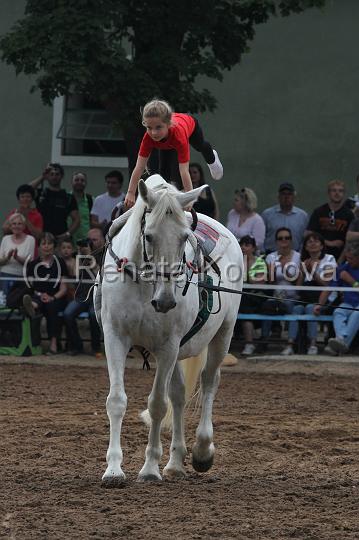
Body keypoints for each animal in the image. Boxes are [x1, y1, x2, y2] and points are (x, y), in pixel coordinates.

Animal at [95, 175, 243, 484]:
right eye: (149, 236)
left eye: (185, 237)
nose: (165, 301)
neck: (143, 285)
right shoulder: (115, 338)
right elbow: (117, 401)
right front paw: (113, 469)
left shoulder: (168, 346)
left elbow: (157, 405)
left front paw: (150, 468)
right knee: (179, 394)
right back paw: (175, 462)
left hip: (223, 333)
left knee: (209, 381)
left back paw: (202, 451)